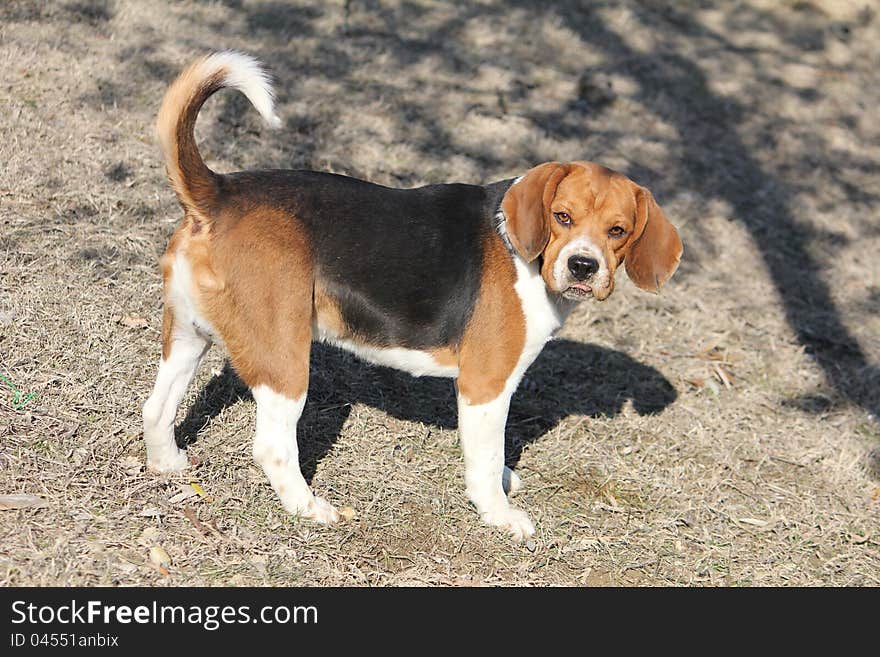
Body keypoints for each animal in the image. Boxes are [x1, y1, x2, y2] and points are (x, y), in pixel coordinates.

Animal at [143, 51, 680, 540]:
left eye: (618, 231)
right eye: (562, 217)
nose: (583, 266)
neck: (524, 252)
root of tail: (219, 193)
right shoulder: (486, 386)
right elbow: (487, 459)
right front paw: (499, 514)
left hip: (187, 338)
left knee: (156, 408)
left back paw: (169, 464)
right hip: (285, 361)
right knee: (272, 445)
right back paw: (311, 508)